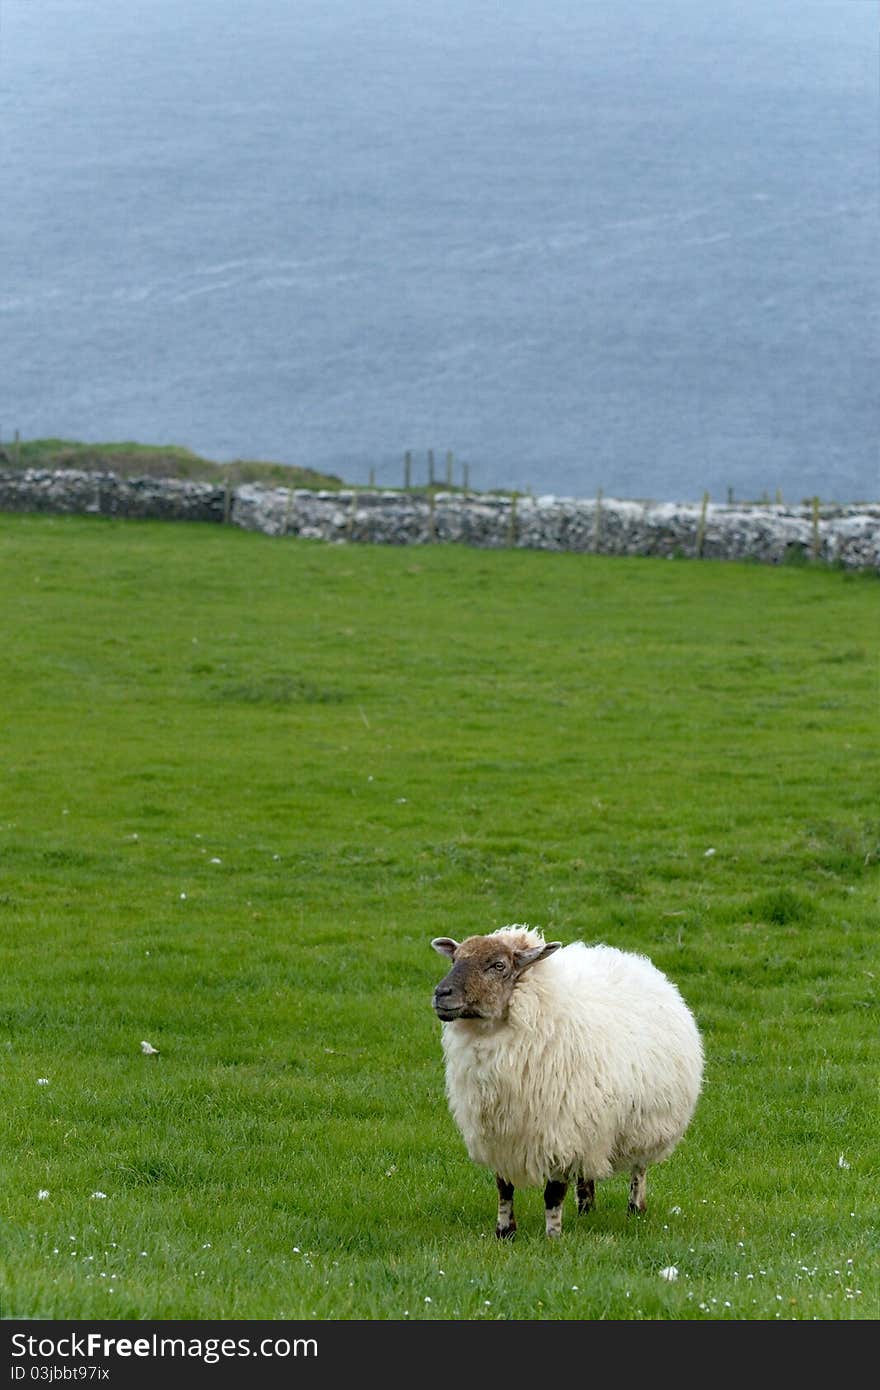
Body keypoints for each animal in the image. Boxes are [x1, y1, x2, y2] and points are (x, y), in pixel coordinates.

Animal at [428, 922, 703, 1239]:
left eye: (498, 965)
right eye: (454, 959)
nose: (441, 993)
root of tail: (632, 960)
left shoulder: (560, 1131)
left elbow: (553, 1192)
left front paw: (553, 1236)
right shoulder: (501, 1133)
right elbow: (504, 1187)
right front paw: (505, 1232)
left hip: (645, 1124)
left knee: (639, 1168)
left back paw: (635, 1207)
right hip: (593, 1126)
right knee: (586, 1172)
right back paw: (586, 1207)